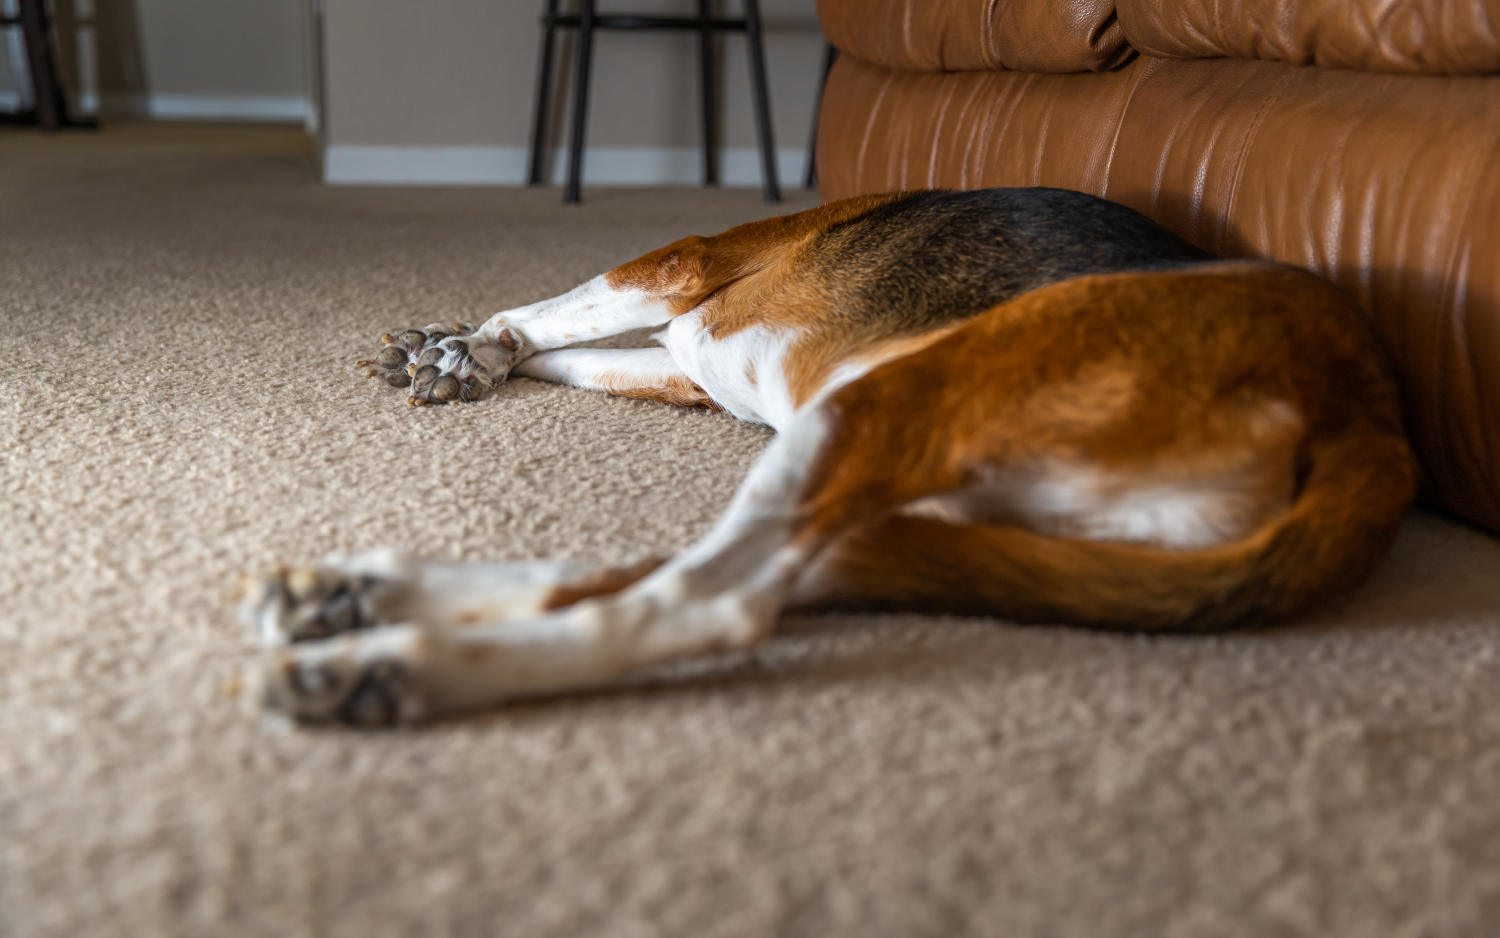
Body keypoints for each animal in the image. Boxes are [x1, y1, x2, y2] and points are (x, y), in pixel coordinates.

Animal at [240, 186, 1410, 729]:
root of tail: (1367, 412)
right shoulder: (682, 361)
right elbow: (569, 349)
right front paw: (459, 354)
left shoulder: (681, 268)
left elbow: (543, 313)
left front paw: (465, 347)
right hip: (931, 494)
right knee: (747, 569)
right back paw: (359, 595)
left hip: (886, 401)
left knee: (711, 599)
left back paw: (393, 663)